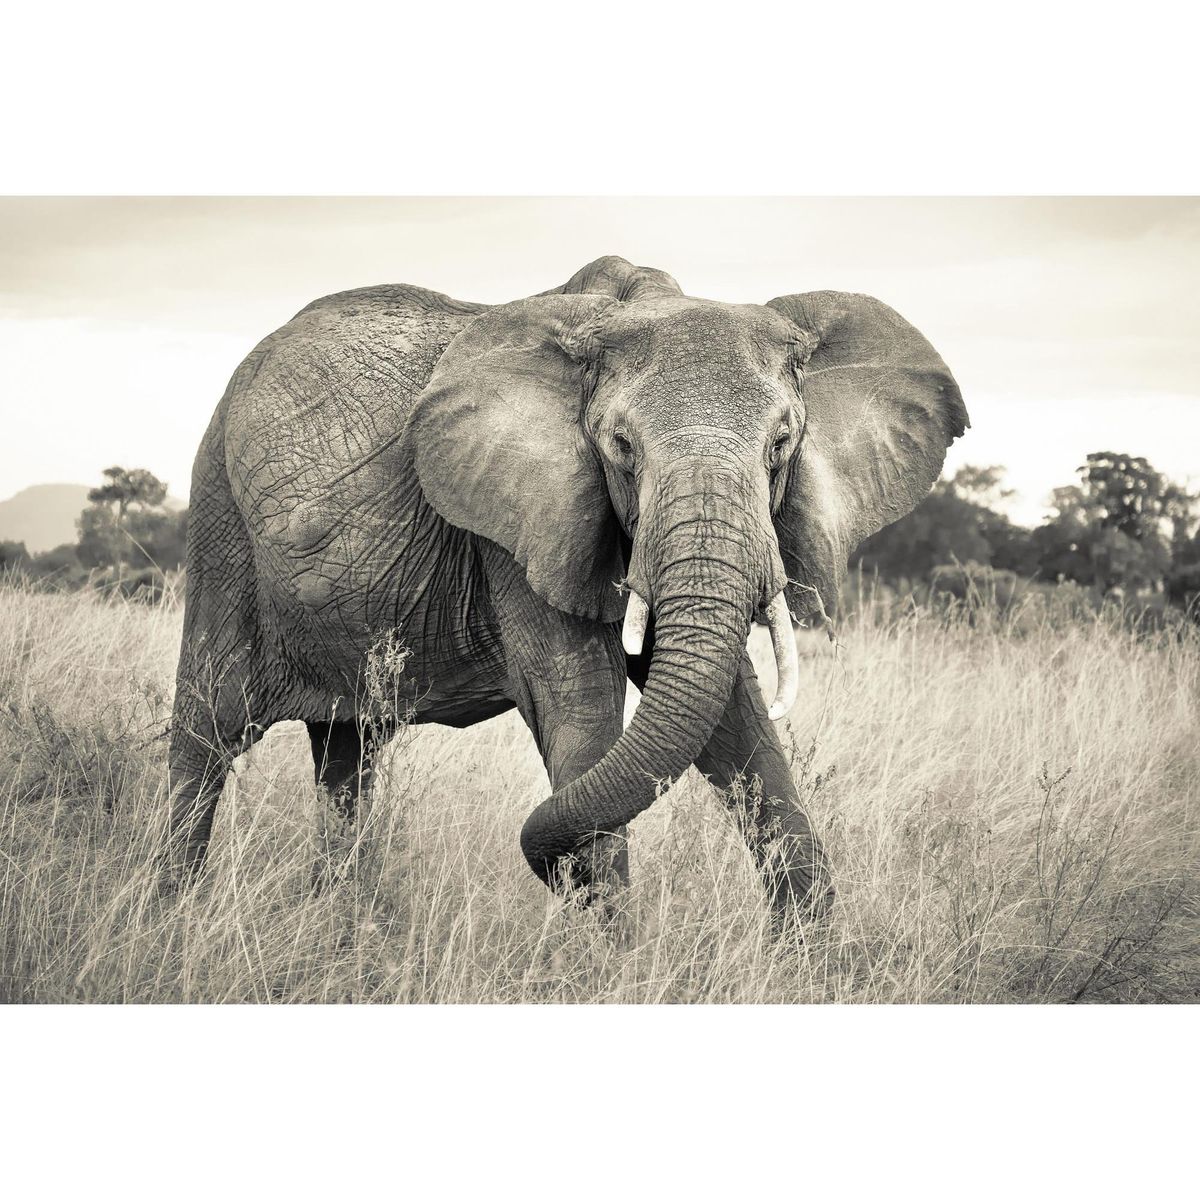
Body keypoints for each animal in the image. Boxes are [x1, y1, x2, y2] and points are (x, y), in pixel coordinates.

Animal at [167, 255, 967, 917]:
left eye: (781, 443)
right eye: (620, 446)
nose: (551, 875)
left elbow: (736, 721)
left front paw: (817, 961)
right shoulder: (522, 530)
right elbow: (579, 711)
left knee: (346, 757)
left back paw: (338, 927)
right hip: (218, 520)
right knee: (204, 739)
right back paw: (169, 918)